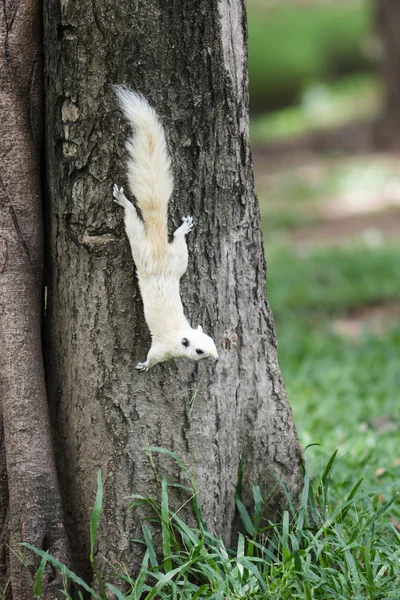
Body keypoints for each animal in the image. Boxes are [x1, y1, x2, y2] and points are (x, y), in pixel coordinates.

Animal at [112, 86, 219, 372]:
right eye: (199, 350)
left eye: (212, 341)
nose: (216, 358)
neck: (179, 336)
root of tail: (158, 244)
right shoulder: (162, 348)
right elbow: (153, 356)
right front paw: (144, 365)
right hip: (142, 246)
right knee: (132, 219)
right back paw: (124, 201)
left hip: (177, 259)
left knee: (174, 239)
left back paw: (183, 227)